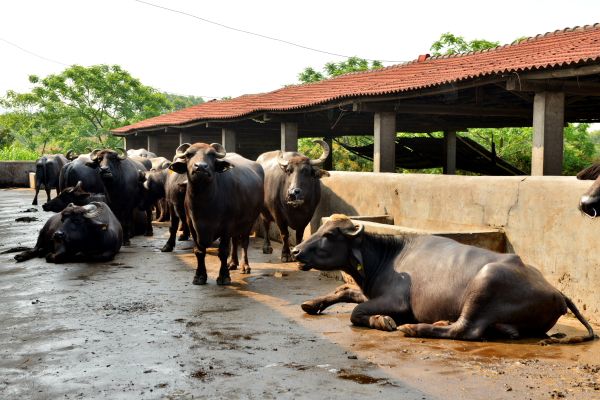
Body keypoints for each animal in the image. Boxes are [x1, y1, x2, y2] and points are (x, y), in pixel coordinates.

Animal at [168, 142, 264, 282]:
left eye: (212, 155)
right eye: (188, 155)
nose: (201, 167)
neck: (204, 204)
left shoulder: (227, 226)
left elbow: (223, 251)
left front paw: (224, 277)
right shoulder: (192, 225)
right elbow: (199, 251)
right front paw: (200, 276)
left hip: (249, 220)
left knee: (244, 242)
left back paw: (245, 266)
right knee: (235, 241)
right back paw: (232, 263)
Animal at [292, 214, 596, 346]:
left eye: (329, 235)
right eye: (319, 229)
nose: (296, 251)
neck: (385, 258)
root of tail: (557, 292)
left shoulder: (397, 301)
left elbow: (356, 312)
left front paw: (384, 321)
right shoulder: (368, 291)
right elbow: (343, 289)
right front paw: (311, 303)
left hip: (485, 282)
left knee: (465, 330)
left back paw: (415, 328)